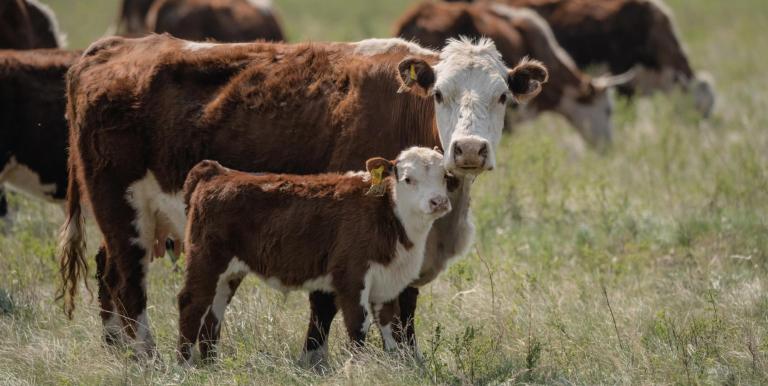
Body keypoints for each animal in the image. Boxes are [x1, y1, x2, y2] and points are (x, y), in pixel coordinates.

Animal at [179, 147, 452, 362]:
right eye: (407, 179)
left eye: (445, 176)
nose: (438, 202)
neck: (389, 214)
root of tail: (218, 172)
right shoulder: (351, 276)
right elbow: (359, 324)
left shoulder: (387, 282)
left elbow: (390, 324)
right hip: (206, 258)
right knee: (192, 303)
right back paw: (185, 366)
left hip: (229, 272)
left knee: (213, 311)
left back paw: (211, 364)